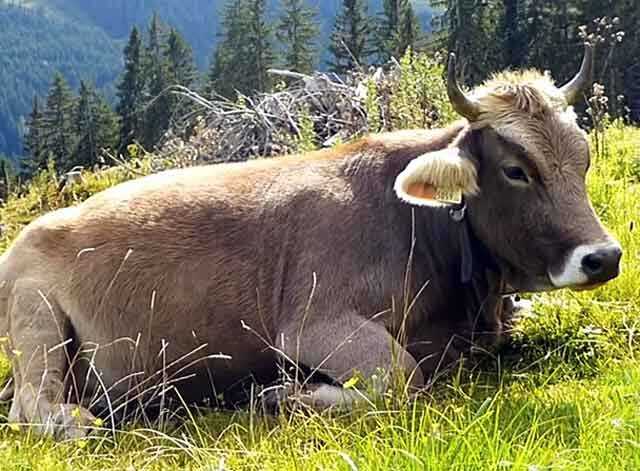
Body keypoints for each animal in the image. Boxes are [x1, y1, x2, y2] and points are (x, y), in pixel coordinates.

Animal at [0, 44, 624, 438]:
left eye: (583, 158)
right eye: (517, 170)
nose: (604, 256)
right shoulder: (312, 322)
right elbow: (403, 378)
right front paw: (283, 395)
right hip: (37, 319)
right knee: (34, 407)